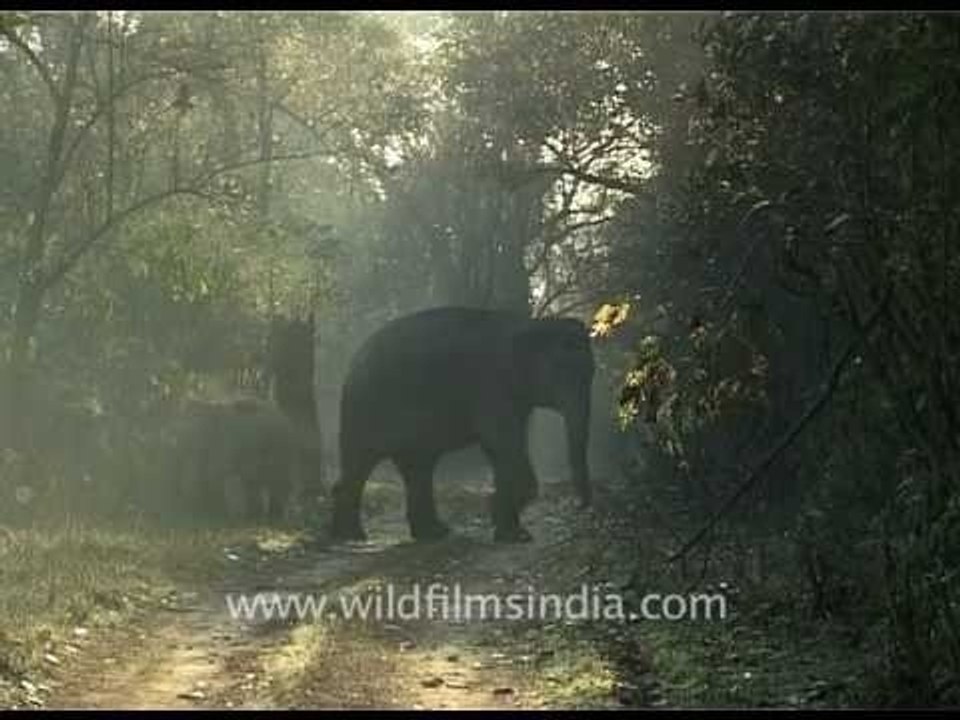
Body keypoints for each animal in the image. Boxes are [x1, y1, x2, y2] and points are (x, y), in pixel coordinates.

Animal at [329, 306, 595, 544]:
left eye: (591, 373)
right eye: (559, 372)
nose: (579, 505)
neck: (529, 324)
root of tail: (352, 363)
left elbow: (501, 450)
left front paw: (511, 533)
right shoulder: (491, 385)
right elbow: (502, 443)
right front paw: (509, 528)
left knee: (418, 467)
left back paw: (433, 533)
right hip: (365, 408)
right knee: (362, 461)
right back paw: (352, 536)